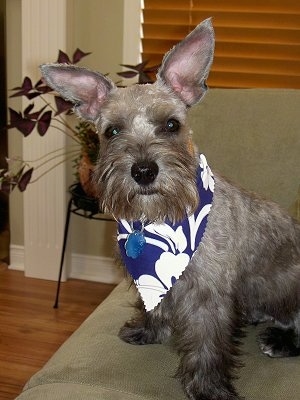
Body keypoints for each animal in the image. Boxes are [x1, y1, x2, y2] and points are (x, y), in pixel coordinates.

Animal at [40, 18, 300, 400]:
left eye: (171, 124)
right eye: (112, 131)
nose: (144, 171)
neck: (159, 221)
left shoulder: (207, 296)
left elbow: (207, 347)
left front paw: (208, 388)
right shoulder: (155, 282)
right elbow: (155, 305)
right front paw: (148, 330)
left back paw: (281, 340)